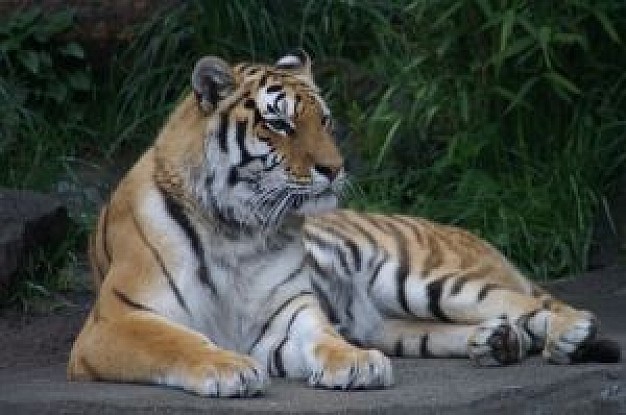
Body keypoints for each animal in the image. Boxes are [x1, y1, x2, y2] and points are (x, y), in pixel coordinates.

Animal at [67, 50, 616, 398]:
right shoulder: (115, 322)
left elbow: (324, 338)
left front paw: (355, 363)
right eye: (279, 123)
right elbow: (176, 341)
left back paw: (570, 331)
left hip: (425, 279)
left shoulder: (289, 313)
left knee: (532, 303)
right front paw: (230, 369)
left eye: (324, 120)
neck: (237, 231)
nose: (335, 168)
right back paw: (499, 342)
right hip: (396, 323)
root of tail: (467, 233)